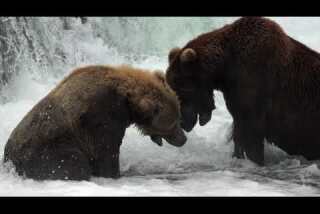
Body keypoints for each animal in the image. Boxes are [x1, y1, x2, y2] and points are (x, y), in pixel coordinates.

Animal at [3, 64, 188, 181]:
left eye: (178, 115)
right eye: (173, 122)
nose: (183, 138)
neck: (126, 101)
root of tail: (8, 160)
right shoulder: (101, 118)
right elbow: (106, 153)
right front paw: (114, 174)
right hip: (47, 150)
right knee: (72, 164)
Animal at [166, 17, 320, 166]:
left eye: (182, 89)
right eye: (173, 87)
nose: (181, 122)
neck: (225, 68)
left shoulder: (254, 86)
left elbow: (250, 135)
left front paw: (255, 160)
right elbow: (239, 133)